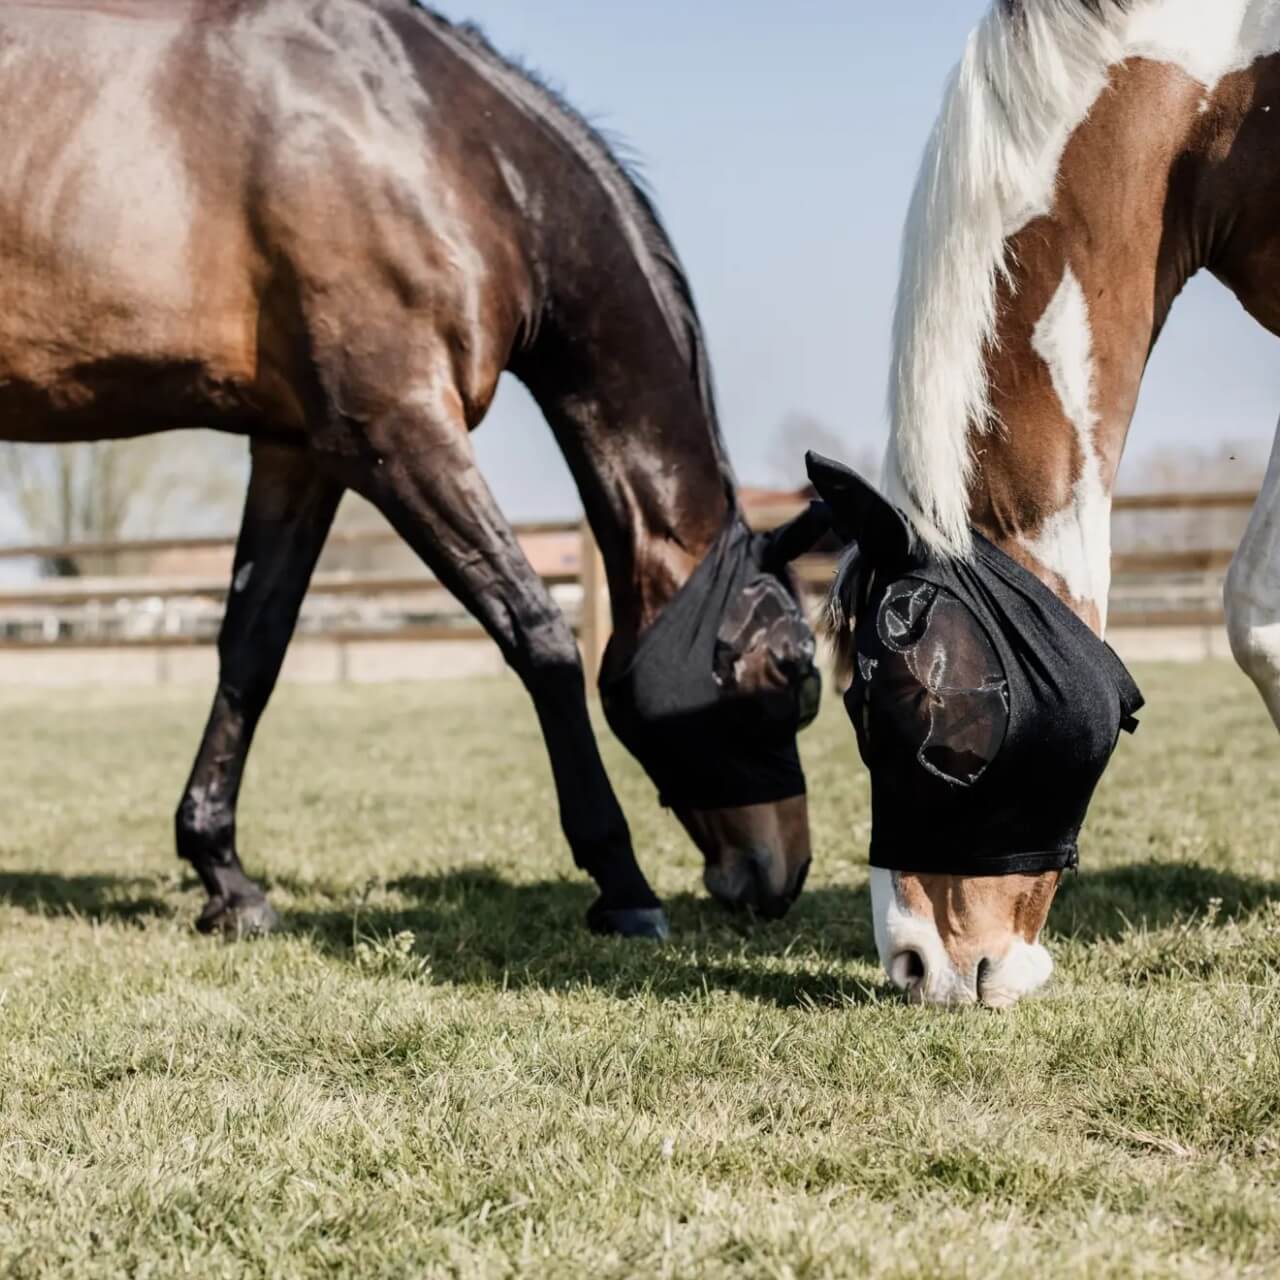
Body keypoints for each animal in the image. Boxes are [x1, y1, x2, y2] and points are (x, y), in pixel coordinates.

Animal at [0, 0, 825, 940]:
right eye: (789, 671)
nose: (783, 875)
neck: (433, 141)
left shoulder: (298, 449)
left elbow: (253, 648)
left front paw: (225, 876)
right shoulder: (396, 429)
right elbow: (539, 634)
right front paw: (623, 885)